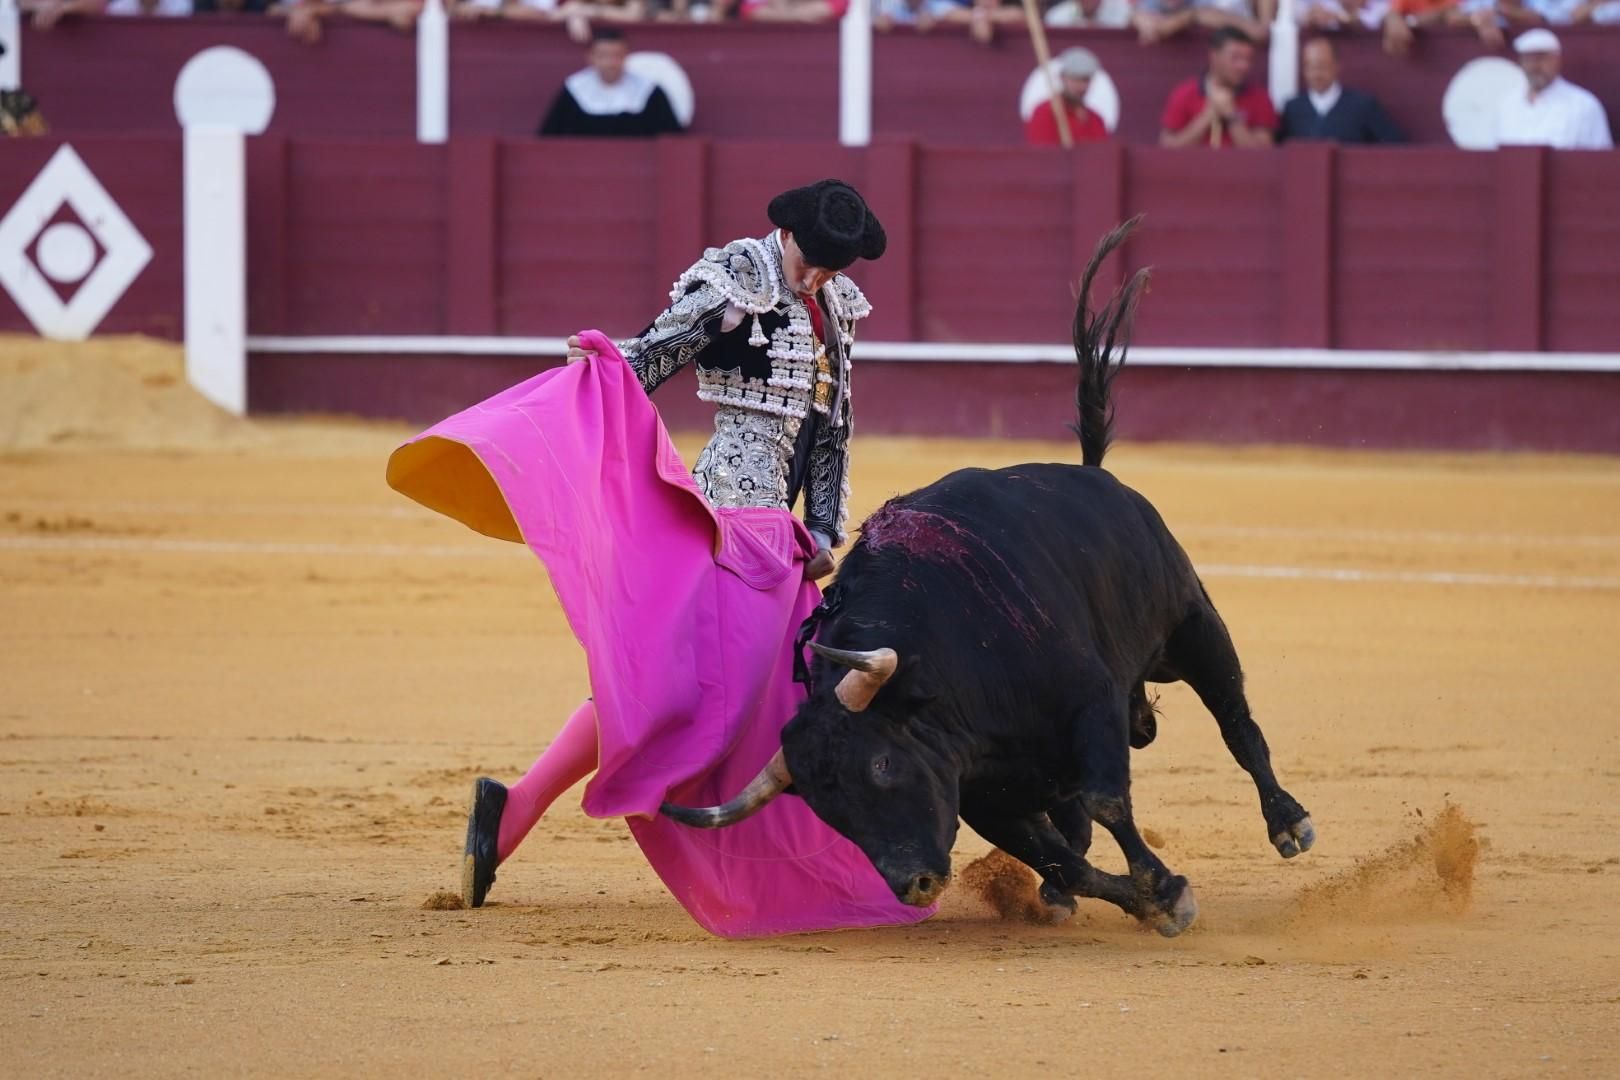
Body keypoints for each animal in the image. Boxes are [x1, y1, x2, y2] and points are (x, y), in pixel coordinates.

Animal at [664, 221, 1308, 939]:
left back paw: (1289, 823)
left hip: (1191, 626)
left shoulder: (1092, 703)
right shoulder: (983, 792)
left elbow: (1109, 801)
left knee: (1235, 720)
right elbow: (1065, 860)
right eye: (831, 810)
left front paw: (1167, 893)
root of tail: (1097, 476)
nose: (913, 884)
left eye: (882, 765)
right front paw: (1142, 896)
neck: (944, 661)